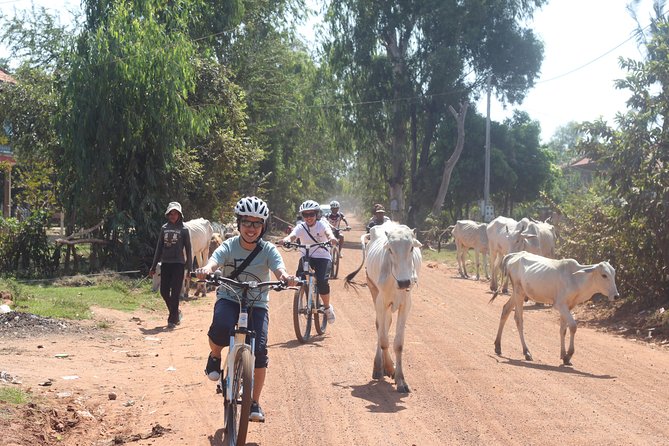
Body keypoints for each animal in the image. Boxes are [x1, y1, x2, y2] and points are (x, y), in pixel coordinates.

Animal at [348, 221, 420, 392]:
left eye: (411, 248)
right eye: (390, 249)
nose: (404, 282)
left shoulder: (406, 304)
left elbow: (398, 344)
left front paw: (400, 380)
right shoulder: (381, 302)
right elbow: (383, 339)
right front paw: (387, 367)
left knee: (386, 325)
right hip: (374, 292)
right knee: (380, 328)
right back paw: (379, 367)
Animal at [488, 251, 620, 366]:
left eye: (614, 274)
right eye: (604, 275)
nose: (616, 295)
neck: (576, 279)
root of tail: (515, 255)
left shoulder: (569, 306)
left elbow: (563, 330)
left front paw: (563, 355)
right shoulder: (560, 305)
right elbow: (573, 327)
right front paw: (568, 355)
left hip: (517, 294)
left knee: (506, 310)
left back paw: (498, 346)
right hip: (518, 292)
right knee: (518, 319)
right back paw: (526, 352)